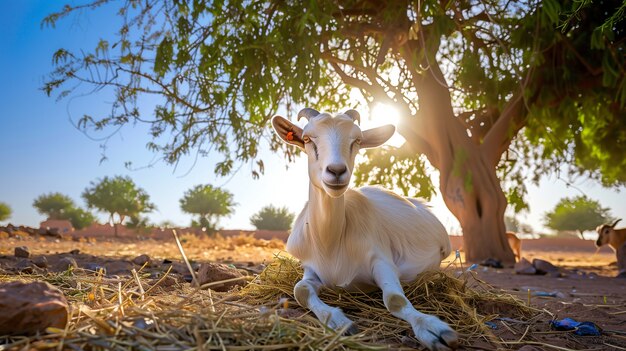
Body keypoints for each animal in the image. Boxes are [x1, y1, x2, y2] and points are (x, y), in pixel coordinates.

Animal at [270, 108, 456, 350]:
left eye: (357, 140)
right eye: (308, 139)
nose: (336, 171)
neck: (330, 243)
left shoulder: (382, 260)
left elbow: (395, 300)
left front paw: (434, 330)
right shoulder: (310, 267)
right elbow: (300, 290)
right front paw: (340, 323)